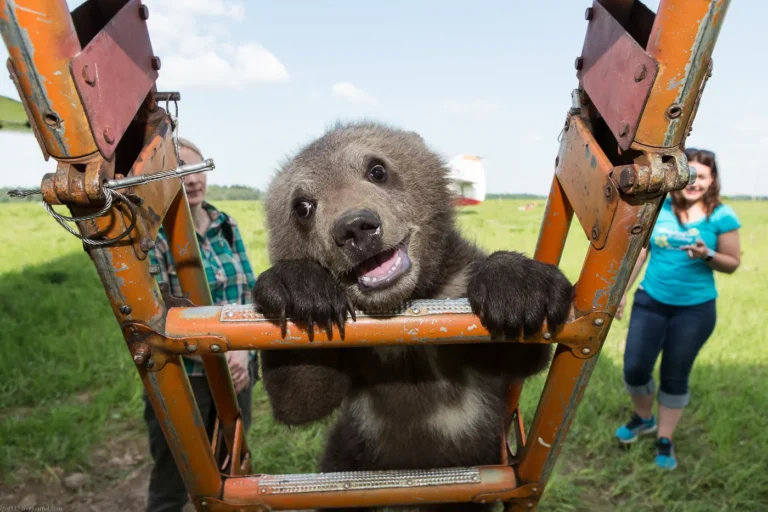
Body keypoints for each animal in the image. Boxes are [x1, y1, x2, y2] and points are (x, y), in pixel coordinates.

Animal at [251, 120, 573, 512]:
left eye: (377, 169)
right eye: (302, 205)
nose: (356, 228)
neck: (404, 305)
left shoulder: (457, 302)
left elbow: (519, 352)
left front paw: (516, 285)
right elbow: (302, 393)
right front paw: (298, 288)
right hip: (350, 454)